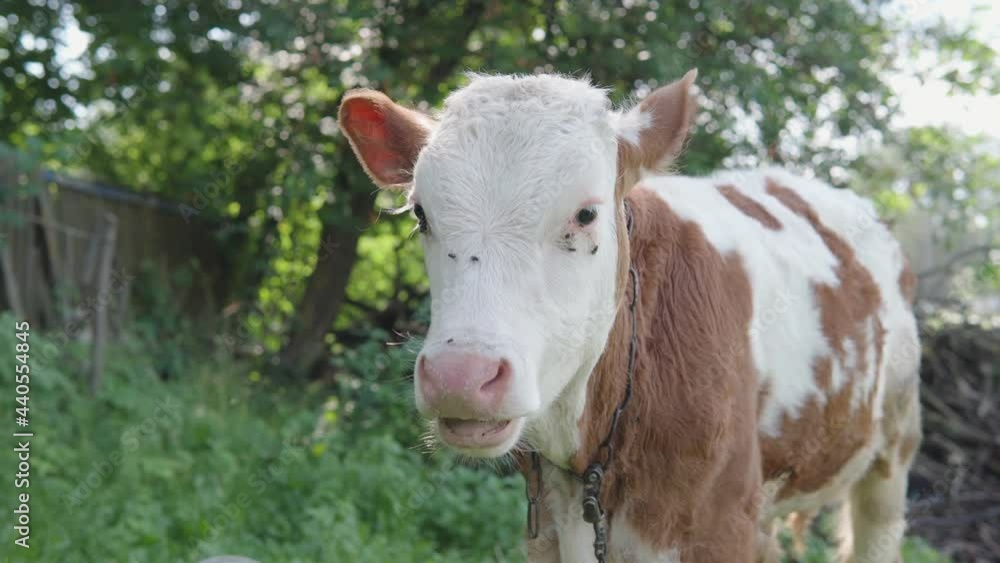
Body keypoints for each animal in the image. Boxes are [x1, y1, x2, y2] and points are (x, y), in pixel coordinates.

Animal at [336, 70, 922, 563]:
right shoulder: (547, 527)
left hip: (892, 453)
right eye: (421, 213)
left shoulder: (722, 525)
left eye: (585, 214)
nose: (461, 377)